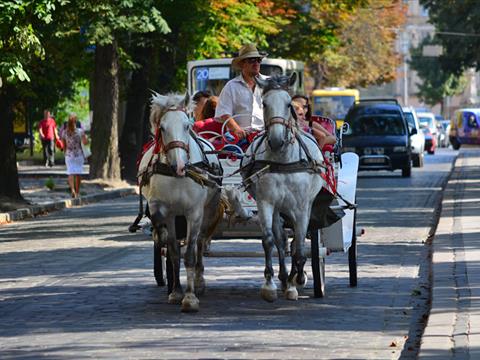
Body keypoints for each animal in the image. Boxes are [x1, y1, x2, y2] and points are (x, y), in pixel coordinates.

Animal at [138, 92, 222, 312]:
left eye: (186, 125)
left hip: (207, 211)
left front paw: (190, 298)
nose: (179, 166)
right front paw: (176, 292)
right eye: (162, 127)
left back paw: (199, 281)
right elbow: (174, 250)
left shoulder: (194, 213)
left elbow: (190, 254)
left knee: (200, 242)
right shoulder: (166, 213)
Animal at [240, 74, 326, 302]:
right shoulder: (266, 202)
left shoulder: (301, 207)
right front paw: (270, 283)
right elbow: (269, 240)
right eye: (264, 103)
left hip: (304, 207)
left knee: (296, 240)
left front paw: (297, 280)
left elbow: (299, 248)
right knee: (280, 238)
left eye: (288, 104)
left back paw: (295, 277)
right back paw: (284, 276)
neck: (282, 160)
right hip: (278, 207)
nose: (277, 140)